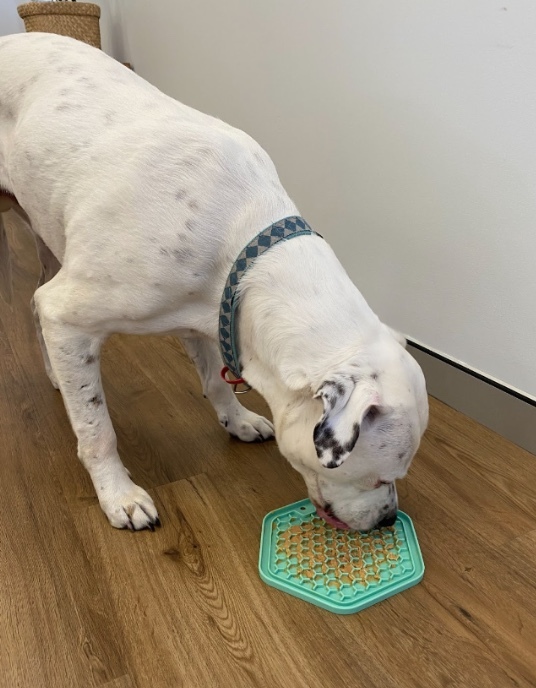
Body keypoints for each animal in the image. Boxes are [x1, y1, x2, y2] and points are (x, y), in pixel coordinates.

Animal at [0, 33, 428, 532]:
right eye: (381, 478)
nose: (387, 519)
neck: (240, 233)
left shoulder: (209, 314)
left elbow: (216, 381)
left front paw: (238, 420)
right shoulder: (69, 316)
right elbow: (96, 428)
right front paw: (118, 494)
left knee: (32, 302)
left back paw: (55, 371)